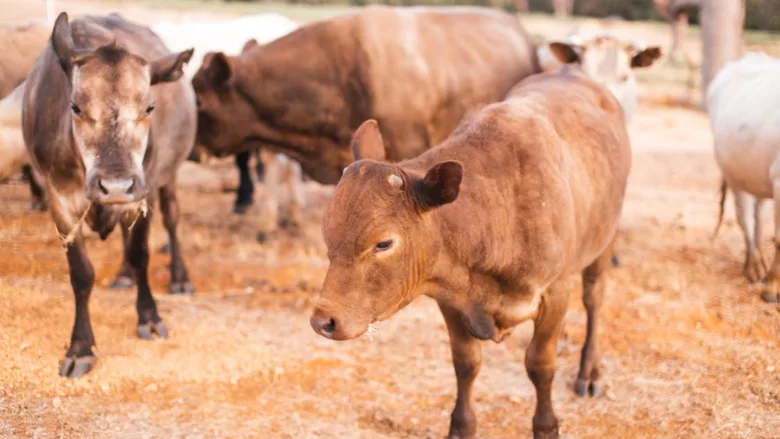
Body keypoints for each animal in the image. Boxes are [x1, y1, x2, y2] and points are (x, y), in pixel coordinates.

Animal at [22, 12, 196, 378]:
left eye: (149, 107)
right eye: (75, 107)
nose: (116, 185)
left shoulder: (142, 193)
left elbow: (141, 255)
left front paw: (149, 316)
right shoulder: (59, 200)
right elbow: (81, 273)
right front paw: (80, 347)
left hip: (167, 178)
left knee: (172, 222)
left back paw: (179, 277)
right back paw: (123, 275)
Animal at [310, 68, 632, 439]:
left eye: (383, 243)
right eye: (328, 232)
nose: (324, 321)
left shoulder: (555, 293)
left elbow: (540, 364)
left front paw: (546, 425)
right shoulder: (450, 297)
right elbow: (465, 362)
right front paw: (462, 426)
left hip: (605, 238)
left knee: (594, 299)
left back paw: (589, 370)